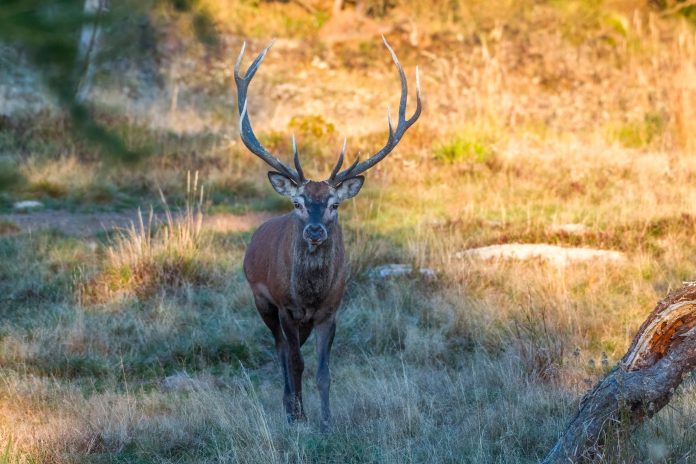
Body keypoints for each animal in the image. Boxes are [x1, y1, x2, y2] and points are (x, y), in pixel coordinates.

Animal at [234, 36, 421, 431]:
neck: (309, 294)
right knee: (280, 351)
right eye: (298, 202)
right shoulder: (284, 306)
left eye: (335, 204)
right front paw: (300, 418)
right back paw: (289, 406)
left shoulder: (331, 310)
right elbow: (296, 361)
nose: (316, 230)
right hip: (260, 299)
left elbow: (324, 371)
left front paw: (327, 421)